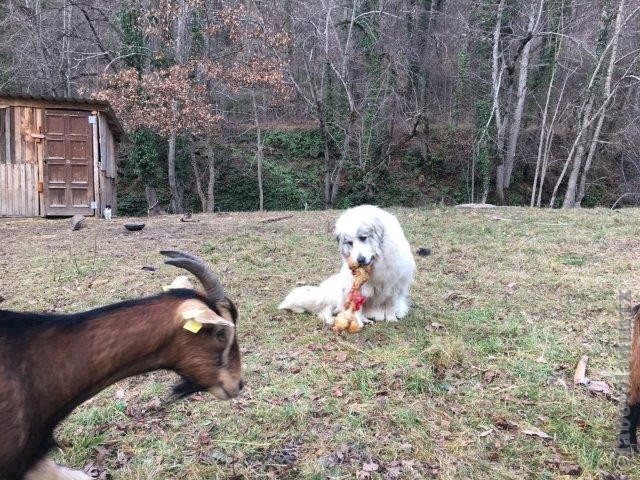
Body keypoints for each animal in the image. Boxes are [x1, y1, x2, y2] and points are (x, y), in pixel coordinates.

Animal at [278, 204, 416, 328]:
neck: (375, 264)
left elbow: (391, 305)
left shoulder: (395, 286)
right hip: (338, 295)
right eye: (349, 242)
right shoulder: (358, 288)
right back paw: (331, 320)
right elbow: (358, 309)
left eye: (363, 238)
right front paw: (358, 323)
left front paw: (392, 319)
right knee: (327, 310)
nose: (360, 260)